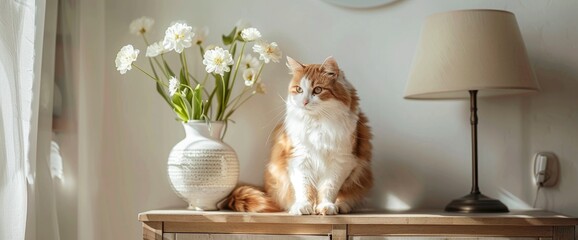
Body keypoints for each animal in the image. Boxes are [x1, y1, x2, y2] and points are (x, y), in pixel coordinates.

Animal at [218, 56, 372, 216]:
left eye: (318, 90)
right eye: (299, 89)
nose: (304, 102)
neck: (317, 123)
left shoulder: (341, 161)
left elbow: (328, 187)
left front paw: (326, 206)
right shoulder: (299, 157)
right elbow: (304, 188)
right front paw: (303, 206)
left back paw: (341, 206)